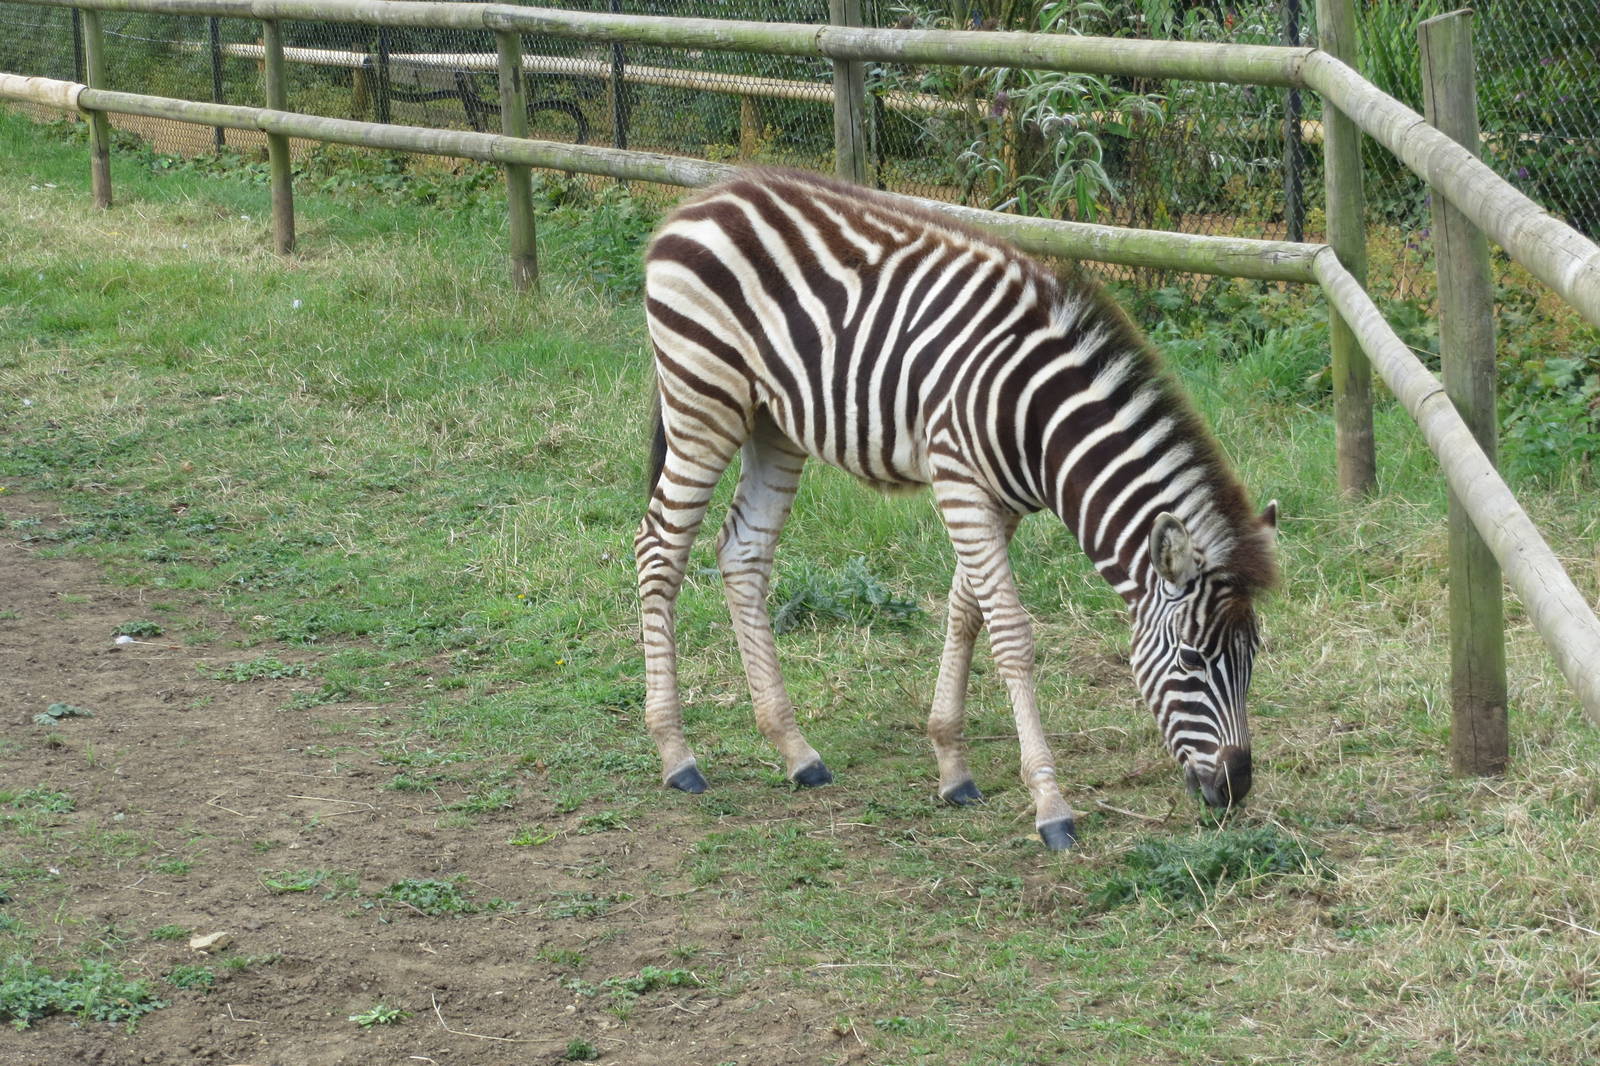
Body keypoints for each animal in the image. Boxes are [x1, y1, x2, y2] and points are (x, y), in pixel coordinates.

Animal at [635, 169, 1278, 850]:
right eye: (1191, 660)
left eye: (1254, 656)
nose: (1236, 787)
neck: (1039, 422)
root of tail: (707, 196)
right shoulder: (959, 480)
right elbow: (1011, 632)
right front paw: (1050, 805)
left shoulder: (1002, 500)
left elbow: (966, 611)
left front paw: (952, 767)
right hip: (704, 401)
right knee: (659, 549)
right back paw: (677, 754)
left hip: (772, 421)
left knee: (743, 553)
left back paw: (796, 751)